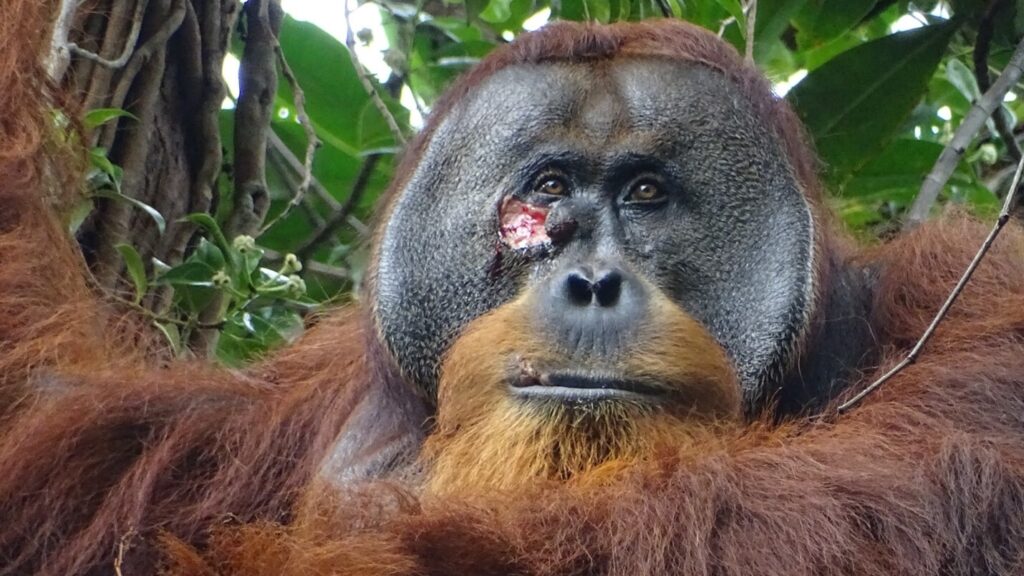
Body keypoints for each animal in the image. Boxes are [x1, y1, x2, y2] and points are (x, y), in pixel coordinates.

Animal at [2, 10, 1024, 576]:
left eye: (644, 194)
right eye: (548, 190)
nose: (592, 280)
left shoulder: (964, 302)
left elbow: (904, 494)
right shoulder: (269, 416)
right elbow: (54, 422)